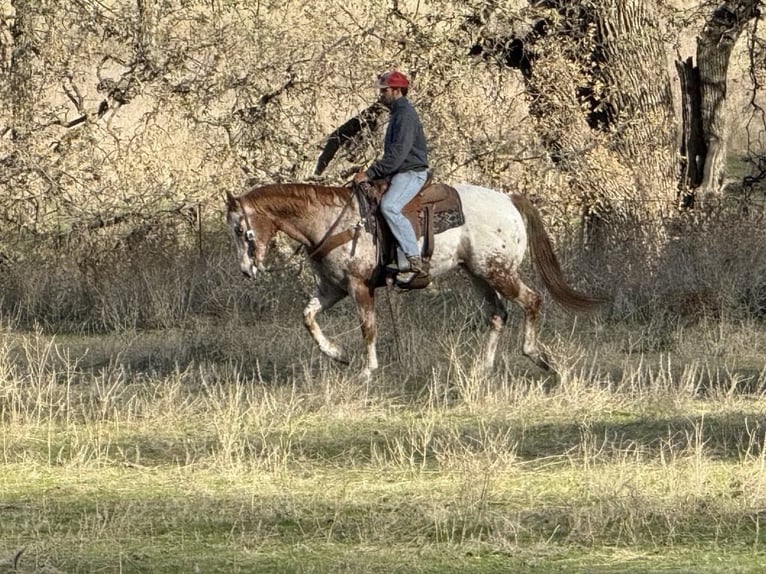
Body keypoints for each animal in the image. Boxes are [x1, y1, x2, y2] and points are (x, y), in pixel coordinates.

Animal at [225, 181, 604, 378]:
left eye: (241, 230)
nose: (246, 270)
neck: (334, 221)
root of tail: (509, 199)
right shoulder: (333, 288)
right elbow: (308, 317)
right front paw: (337, 354)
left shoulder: (360, 286)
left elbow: (368, 327)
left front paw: (367, 370)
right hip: (478, 275)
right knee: (498, 314)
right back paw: (481, 368)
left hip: (498, 271)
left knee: (531, 301)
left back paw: (537, 356)